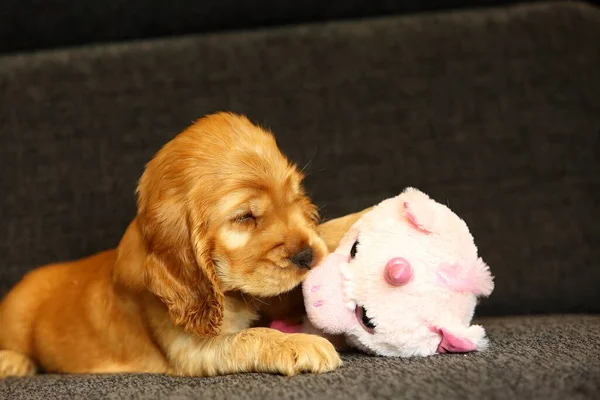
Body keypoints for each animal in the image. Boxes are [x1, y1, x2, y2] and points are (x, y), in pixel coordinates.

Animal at [0, 112, 340, 378]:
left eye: (295, 198)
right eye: (245, 217)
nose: (308, 255)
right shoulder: (191, 349)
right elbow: (249, 337)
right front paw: (298, 342)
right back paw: (12, 362)